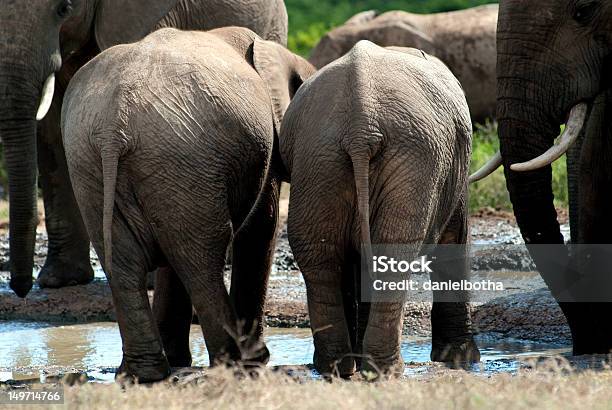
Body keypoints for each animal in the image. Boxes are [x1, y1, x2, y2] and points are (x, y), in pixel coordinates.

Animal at [61, 28, 316, 382]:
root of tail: (114, 122)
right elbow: (261, 228)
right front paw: (257, 359)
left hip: (96, 163)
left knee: (129, 265)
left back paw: (144, 373)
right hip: (181, 155)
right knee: (201, 261)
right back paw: (234, 363)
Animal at [280, 41, 480, 378]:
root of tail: (361, 125)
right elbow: (455, 238)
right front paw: (461, 359)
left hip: (319, 159)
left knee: (320, 253)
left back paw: (337, 367)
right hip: (412, 156)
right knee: (393, 250)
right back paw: (384, 369)